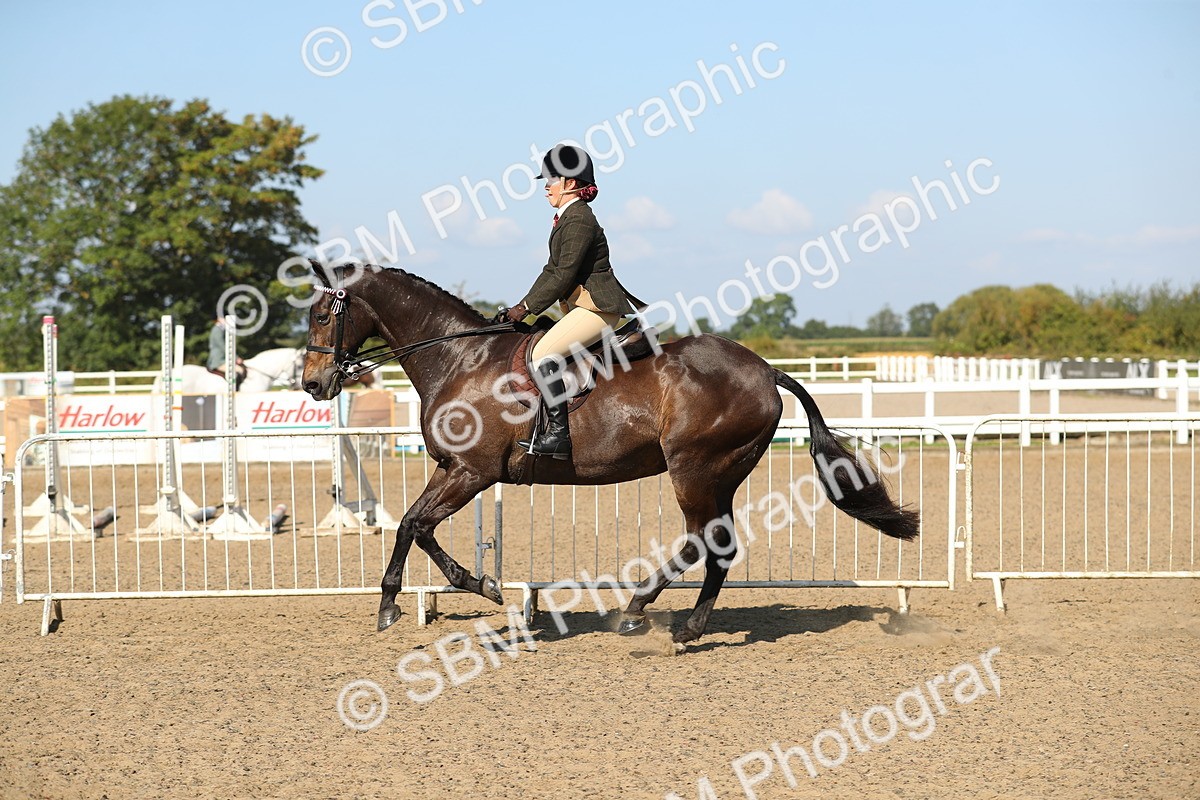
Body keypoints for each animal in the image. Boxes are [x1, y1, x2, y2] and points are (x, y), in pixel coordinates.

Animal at [302, 263, 919, 646]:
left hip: (695, 470)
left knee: (703, 542)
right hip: (718, 475)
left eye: (324, 316)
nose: (312, 384)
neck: (461, 359)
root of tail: (766, 370)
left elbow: (412, 524)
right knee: (717, 548)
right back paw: (681, 624)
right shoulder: (452, 469)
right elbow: (416, 525)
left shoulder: (471, 472)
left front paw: (393, 604)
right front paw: (478, 586)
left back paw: (643, 614)